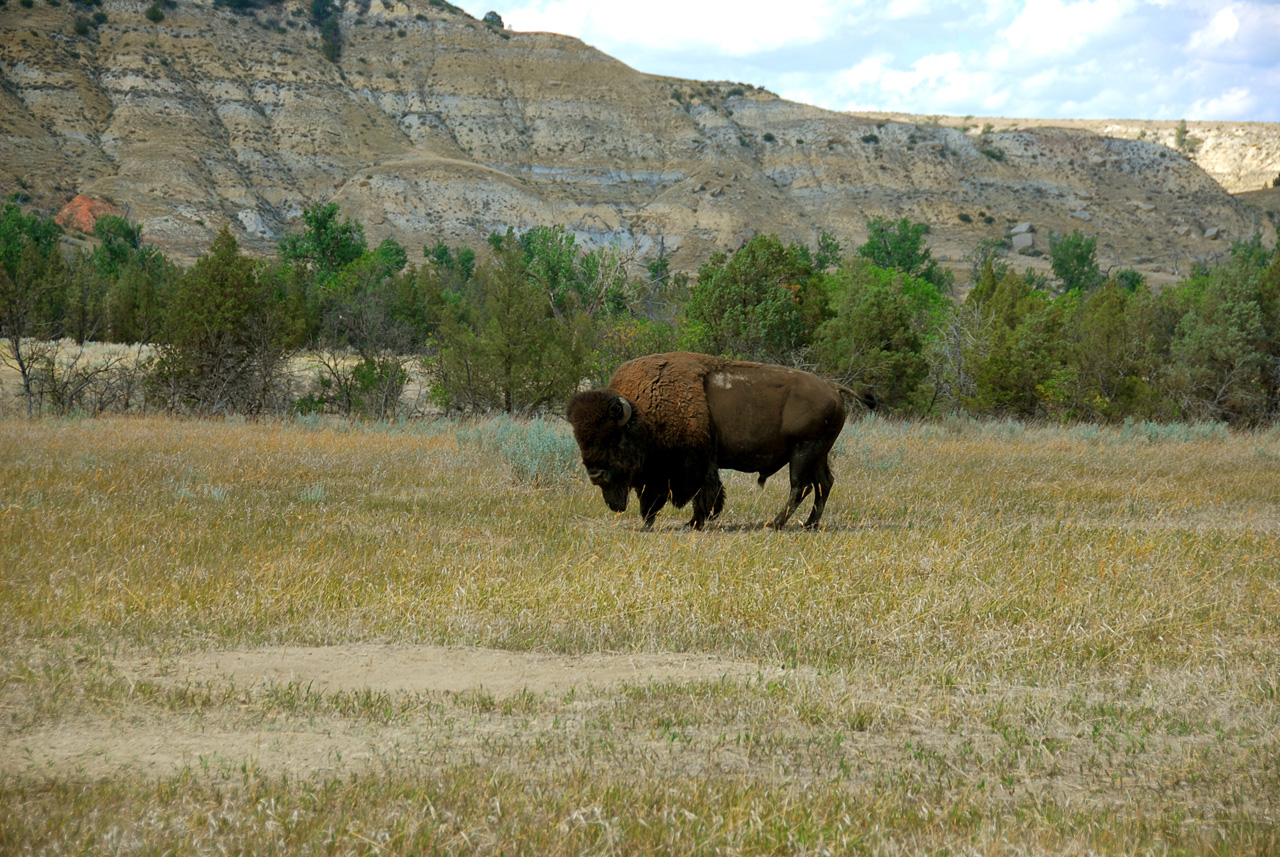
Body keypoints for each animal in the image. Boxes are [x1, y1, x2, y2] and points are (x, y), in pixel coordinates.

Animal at [568, 350, 875, 529]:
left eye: (614, 439)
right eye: (581, 441)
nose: (596, 474)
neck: (642, 415)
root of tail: (833, 387)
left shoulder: (696, 463)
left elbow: (705, 493)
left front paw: (693, 523)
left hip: (803, 451)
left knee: (801, 487)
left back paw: (775, 524)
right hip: (818, 453)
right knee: (824, 484)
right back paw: (809, 524)